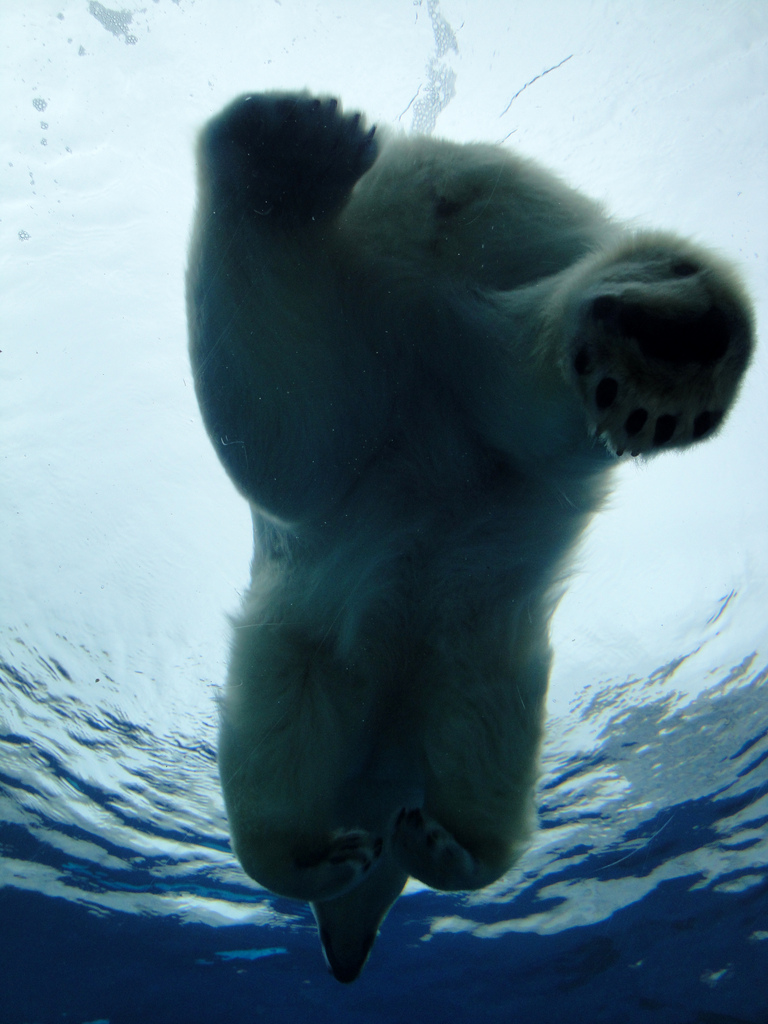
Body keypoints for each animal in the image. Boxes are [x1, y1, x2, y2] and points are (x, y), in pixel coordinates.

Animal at [186, 92, 754, 982]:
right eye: (338, 931)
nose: (345, 962)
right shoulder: (403, 673)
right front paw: (372, 850)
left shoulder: (433, 670)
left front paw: (404, 848)